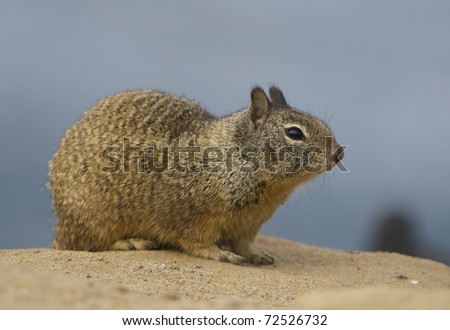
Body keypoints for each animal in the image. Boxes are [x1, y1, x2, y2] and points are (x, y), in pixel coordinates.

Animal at [49, 85, 344, 266]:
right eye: (294, 133)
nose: (339, 153)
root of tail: (61, 225)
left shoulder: (250, 224)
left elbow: (244, 244)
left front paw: (257, 254)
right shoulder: (191, 215)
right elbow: (196, 241)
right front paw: (219, 253)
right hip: (94, 220)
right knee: (85, 244)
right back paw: (130, 242)